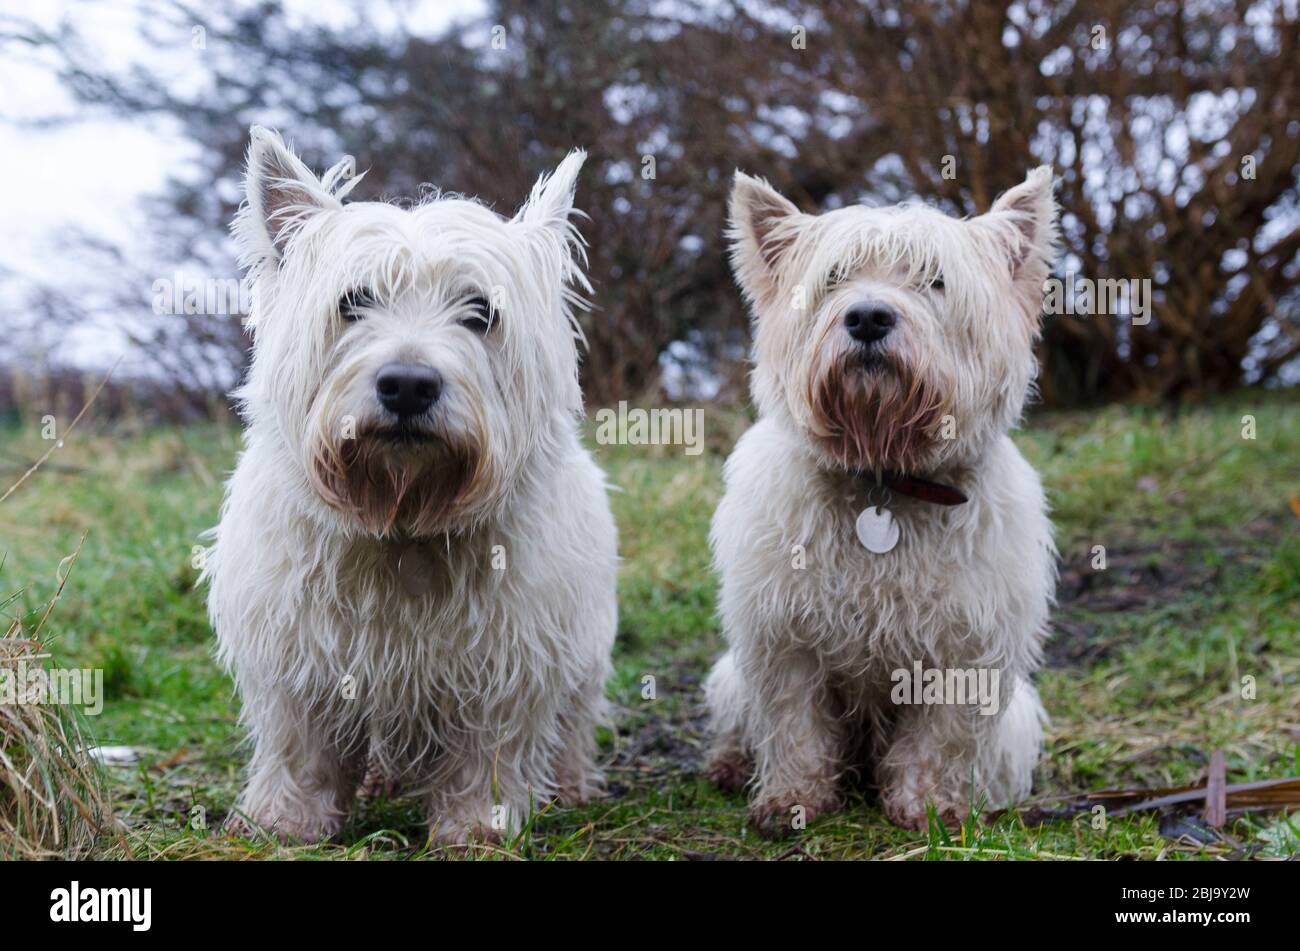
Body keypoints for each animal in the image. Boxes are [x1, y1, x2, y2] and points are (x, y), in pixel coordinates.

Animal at [206, 124, 618, 841]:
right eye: (353, 301)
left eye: (481, 311)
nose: (407, 385)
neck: (403, 519)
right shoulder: (295, 654)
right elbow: (299, 745)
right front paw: (284, 821)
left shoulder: (510, 659)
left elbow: (489, 749)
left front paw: (479, 825)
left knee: (570, 725)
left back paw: (570, 785)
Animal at [707, 167, 1060, 836]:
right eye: (834, 279)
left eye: (935, 280)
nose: (868, 316)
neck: (884, 477)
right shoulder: (784, 637)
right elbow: (794, 724)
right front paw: (793, 800)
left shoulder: (965, 646)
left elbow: (941, 738)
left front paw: (928, 804)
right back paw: (730, 766)